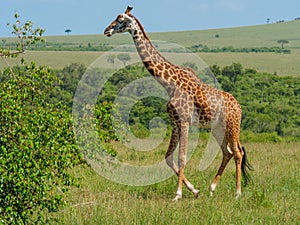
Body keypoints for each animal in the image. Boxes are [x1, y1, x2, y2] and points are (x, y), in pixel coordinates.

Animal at [104, 6, 252, 201]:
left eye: (120, 20)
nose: (106, 30)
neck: (168, 83)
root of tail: (239, 107)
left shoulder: (184, 121)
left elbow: (182, 157)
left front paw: (178, 194)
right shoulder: (175, 122)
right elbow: (168, 157)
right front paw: (194, 190)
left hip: (232, 126)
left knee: (238, 152)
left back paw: (237, 193)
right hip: (217, 128)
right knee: (227, 152)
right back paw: (212, 188)